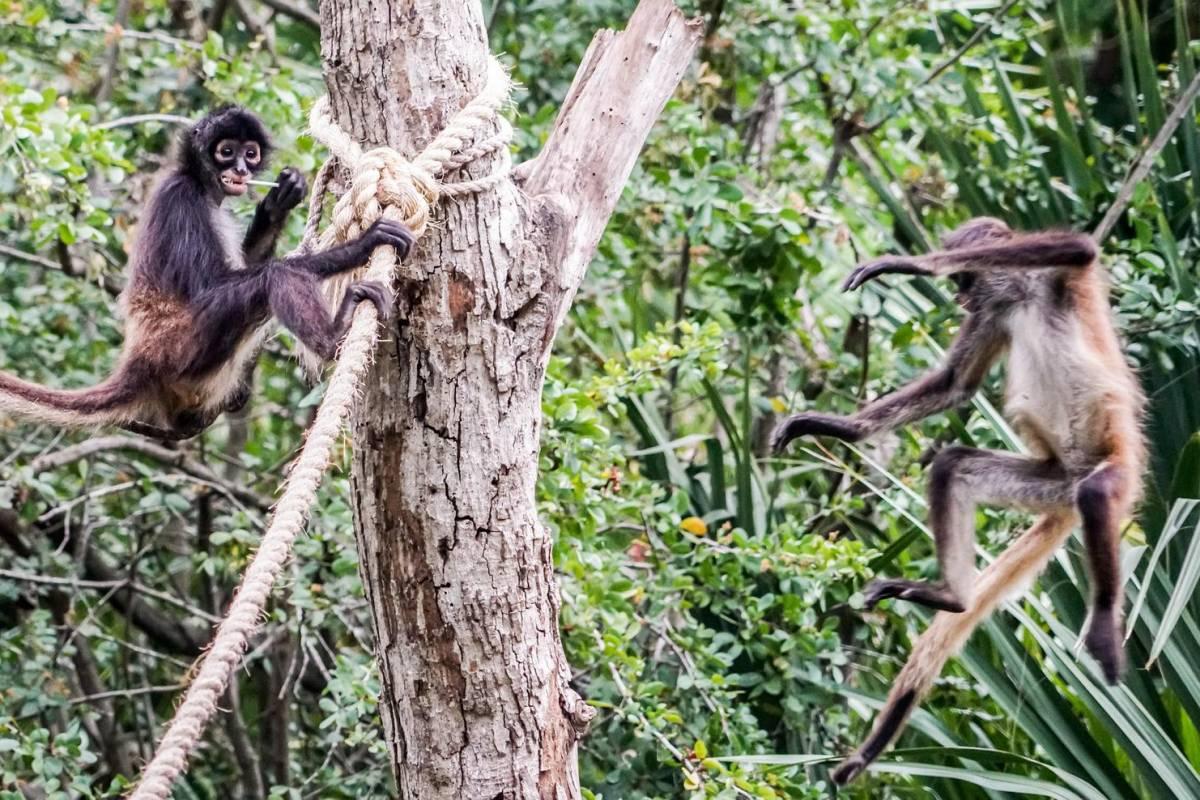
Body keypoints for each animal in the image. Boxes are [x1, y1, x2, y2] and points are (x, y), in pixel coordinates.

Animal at [0, 105, 412, 438]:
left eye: (251, 153)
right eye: (226, 151)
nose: (241, 170)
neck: (200, 182)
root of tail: (140, 359)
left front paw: (277, 202)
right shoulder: (181, 198)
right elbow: (215, 285)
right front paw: (360, 245)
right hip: (182, 347)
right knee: (275, 276)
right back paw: (334, 336)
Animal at [772, 217, 1147, 782]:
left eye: (965, 276)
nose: (958, 295)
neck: (1020, 293)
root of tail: (1071, 486)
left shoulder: (1046, 281)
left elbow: (1080, 247)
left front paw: (910, 264)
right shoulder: (993, 311)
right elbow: (952, 386)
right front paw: (835, 427)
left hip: (1112, 471)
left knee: (1099, 492)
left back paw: (1102, 618)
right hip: (1050, 480)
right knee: (954, 466)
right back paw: (951, 596)